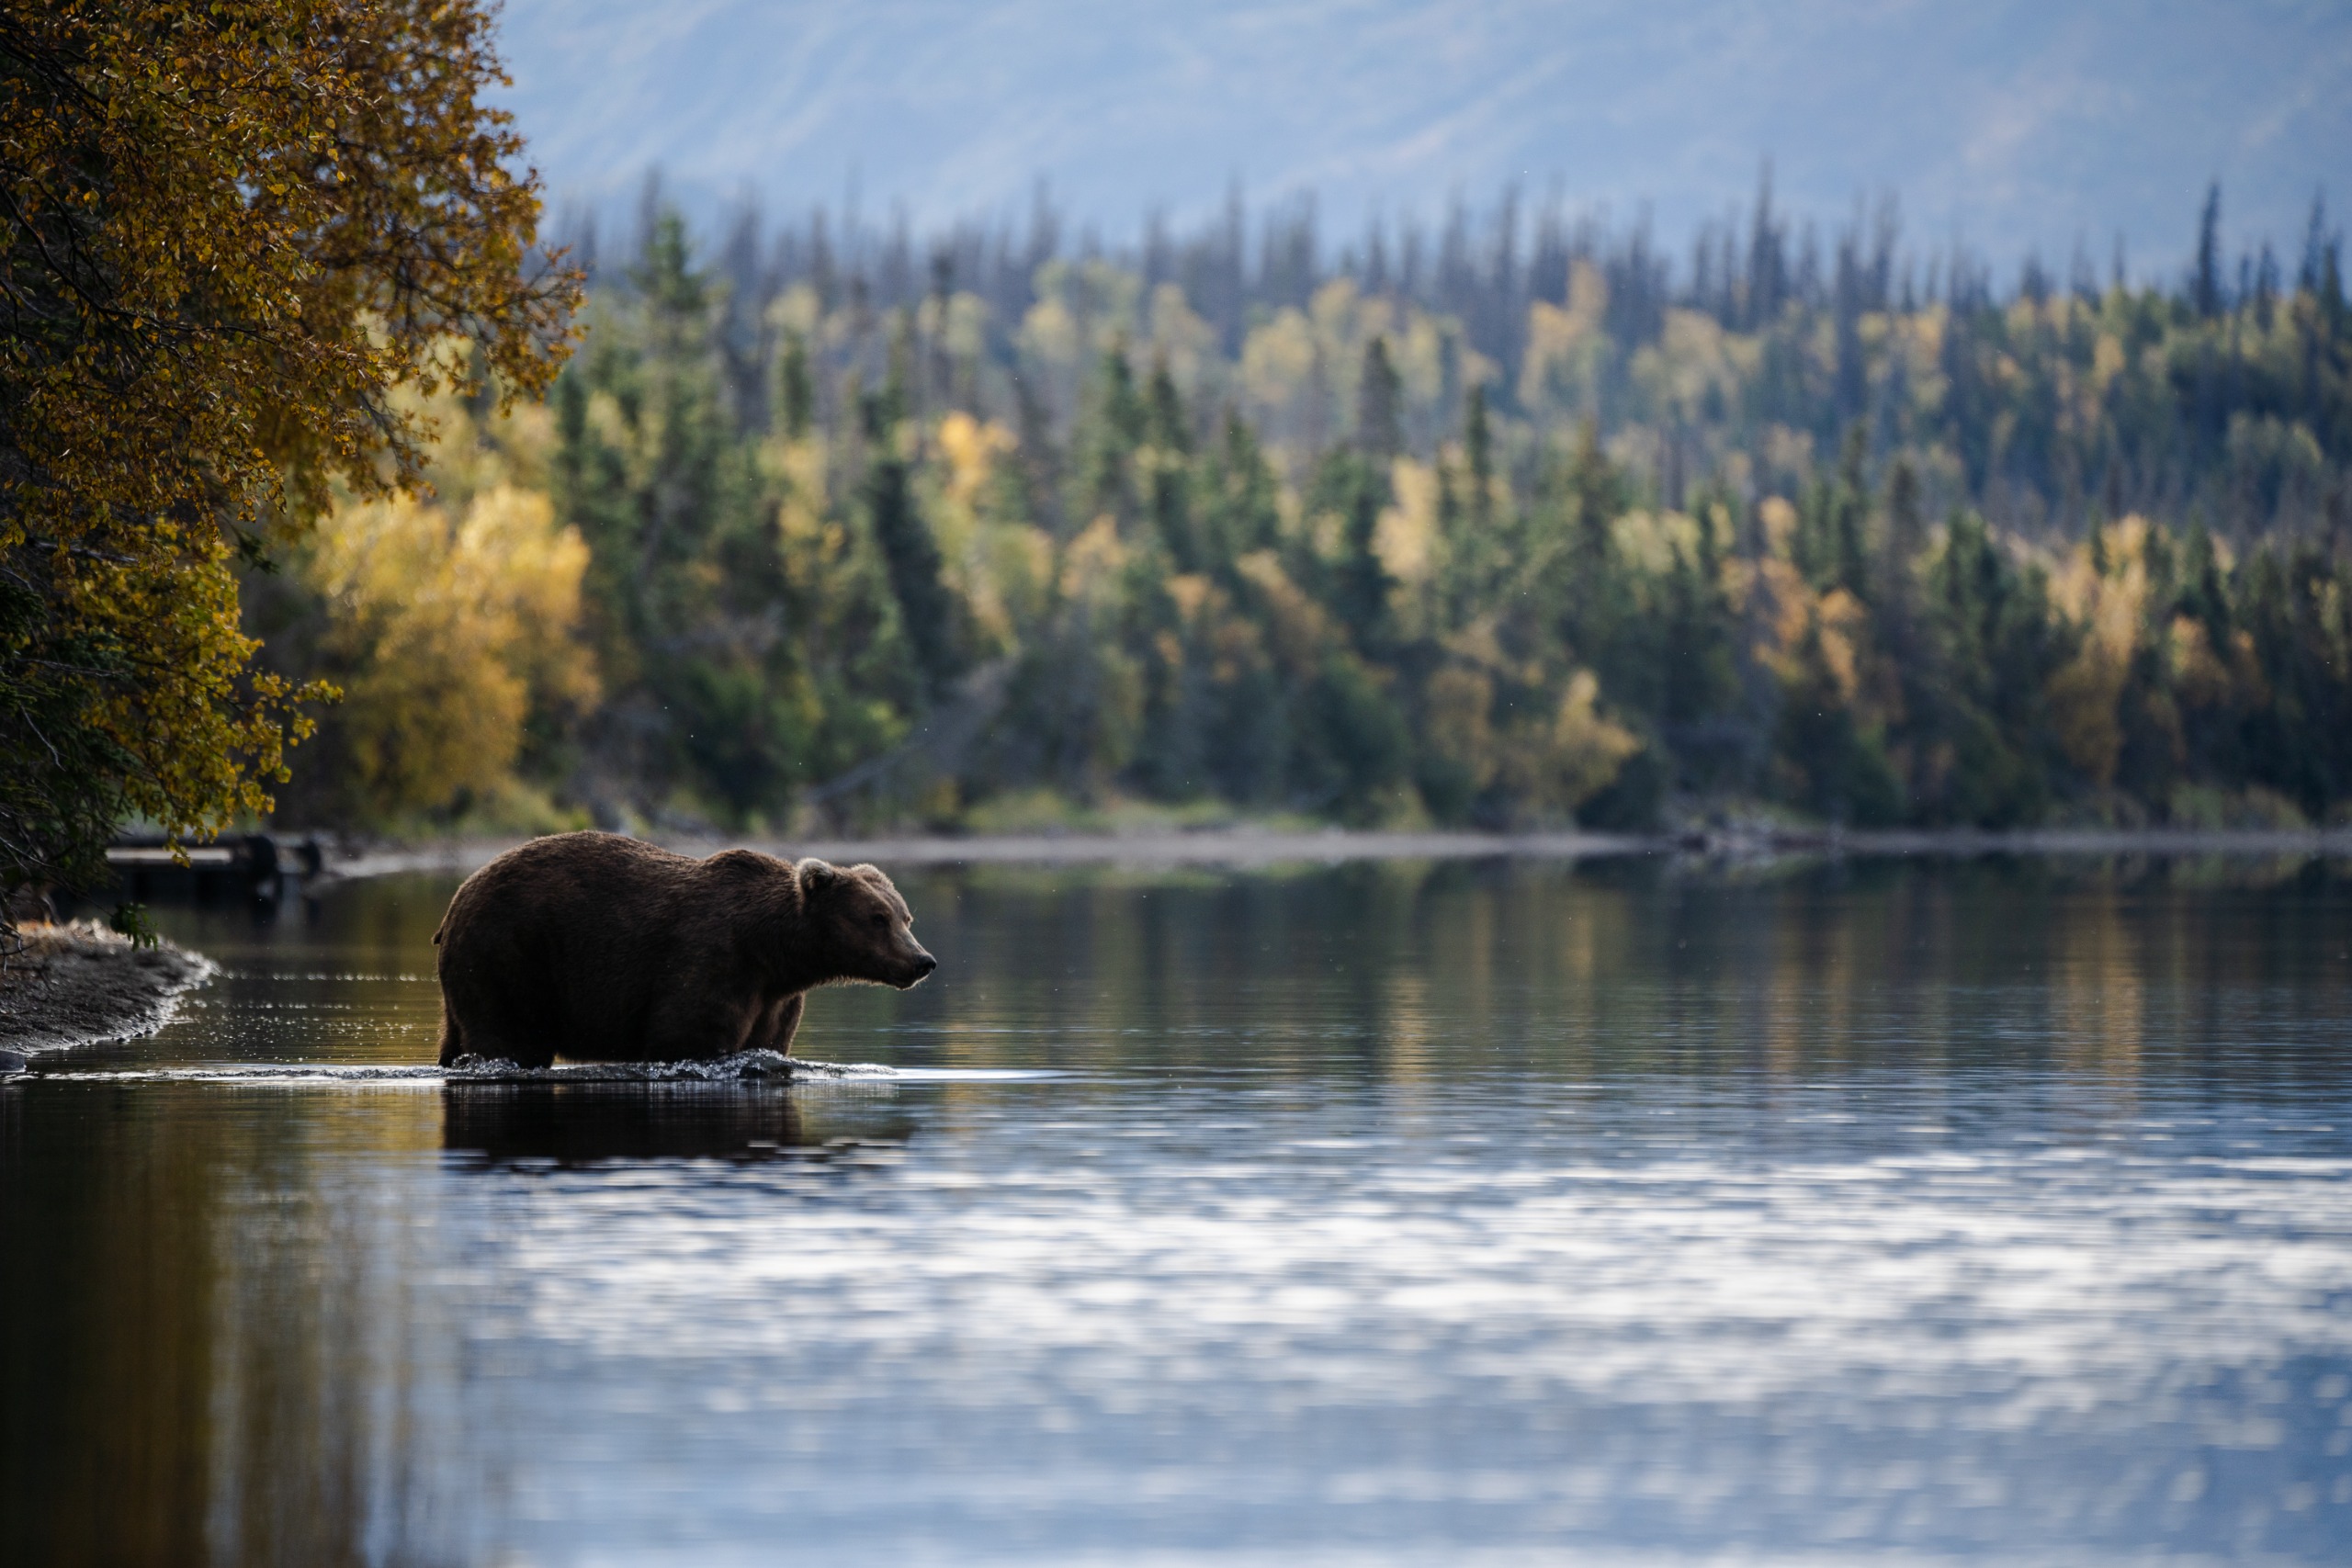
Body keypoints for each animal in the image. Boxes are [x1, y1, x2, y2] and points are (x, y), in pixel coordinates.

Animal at [432, 832, 934, 1068]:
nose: (922, 961)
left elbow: (768, 1043)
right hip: (510, 956)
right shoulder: (712, 961)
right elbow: (686, 1035)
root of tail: (457, 898)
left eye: (905, 916)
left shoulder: (776, 1000)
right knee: (509, 1039)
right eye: (877, 917)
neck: (773, 951)